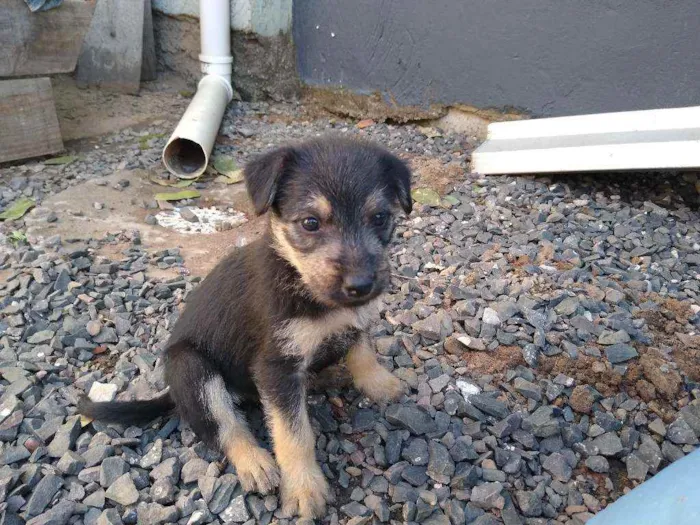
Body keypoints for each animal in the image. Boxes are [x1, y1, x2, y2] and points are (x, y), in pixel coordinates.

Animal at [79, 134, 412, 516]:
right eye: (310, 223)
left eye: (380, 218)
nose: (361, 285)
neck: (299, 278)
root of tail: (171, 391)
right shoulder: (275, 367)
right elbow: (293, 434)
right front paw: (304, 488)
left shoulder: (354, 320)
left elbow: (363, 350)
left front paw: (380, 384)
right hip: (191, 368)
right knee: (224, 425)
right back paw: (255, 462)